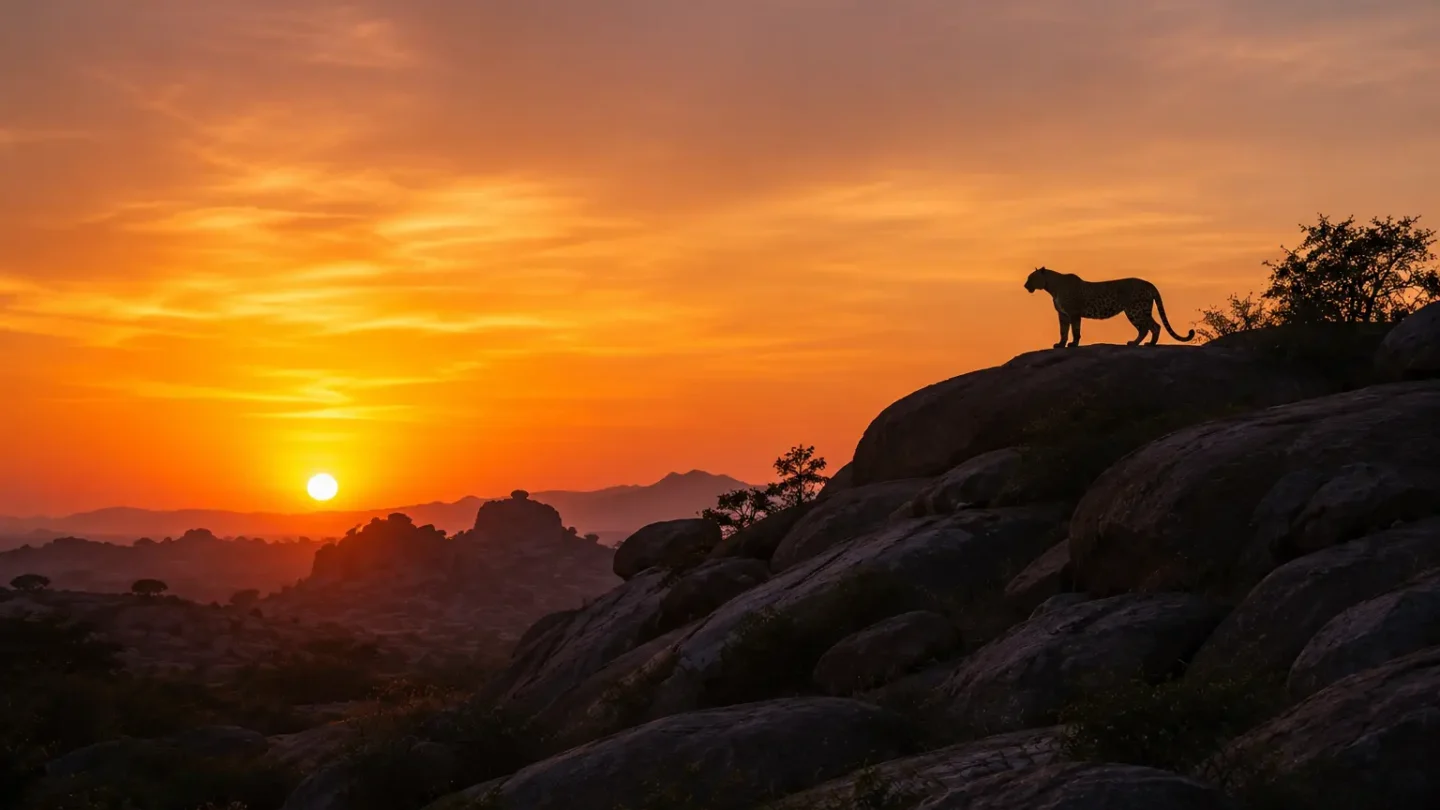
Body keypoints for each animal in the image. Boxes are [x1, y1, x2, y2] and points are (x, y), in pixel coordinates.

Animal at [1024, 266, 1196, 348]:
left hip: (1134, 310)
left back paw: (1145, 344)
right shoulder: (1063, 315)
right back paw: (1138, 343)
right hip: (1141, 309)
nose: (1025, 286)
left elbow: (1075, 331)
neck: (1052, 287)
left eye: (1030, 278)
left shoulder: (1073, 313)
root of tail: (1149, 283)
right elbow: (1063, 331)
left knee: (1152, 326)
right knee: (1148, 327)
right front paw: (1060, 345)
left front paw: (1073, 344)